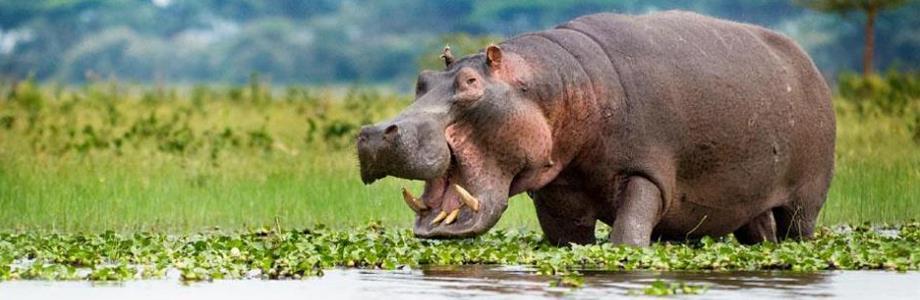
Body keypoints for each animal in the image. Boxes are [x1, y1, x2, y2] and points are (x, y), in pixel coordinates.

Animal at [356, 11, 836, 246]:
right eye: (422, 80)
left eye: (471, 83)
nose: (374, 133)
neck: (555, 85)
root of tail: (809, 63)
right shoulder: (559, 191)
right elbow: (569, 241)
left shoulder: (647, 173)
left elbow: (627, 238)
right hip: (748, 204)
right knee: (759, 232)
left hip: (806, 200)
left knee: (799, 231)